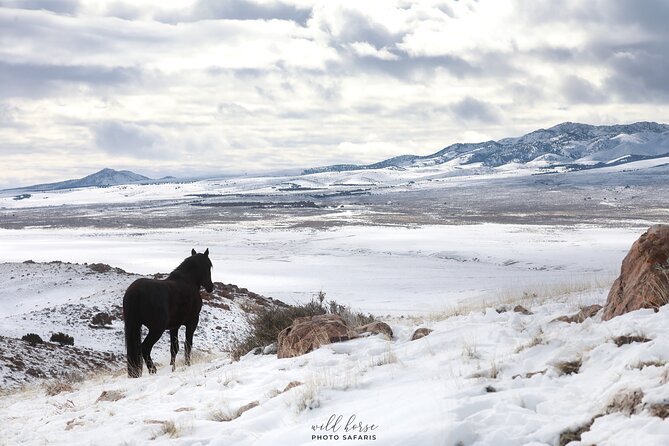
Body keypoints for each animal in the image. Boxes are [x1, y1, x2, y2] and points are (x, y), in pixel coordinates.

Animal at [123, 249, 214, 378]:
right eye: (208, 265)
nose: (211, 287)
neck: (188, 282)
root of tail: (134, 292)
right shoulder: (192, 322)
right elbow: (188, 345)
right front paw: (187, 364)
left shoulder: (174, 326)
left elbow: (174, 348)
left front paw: (172, 367)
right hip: (156, 329)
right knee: (145, 348)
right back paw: (153, 370)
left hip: (135, 325)